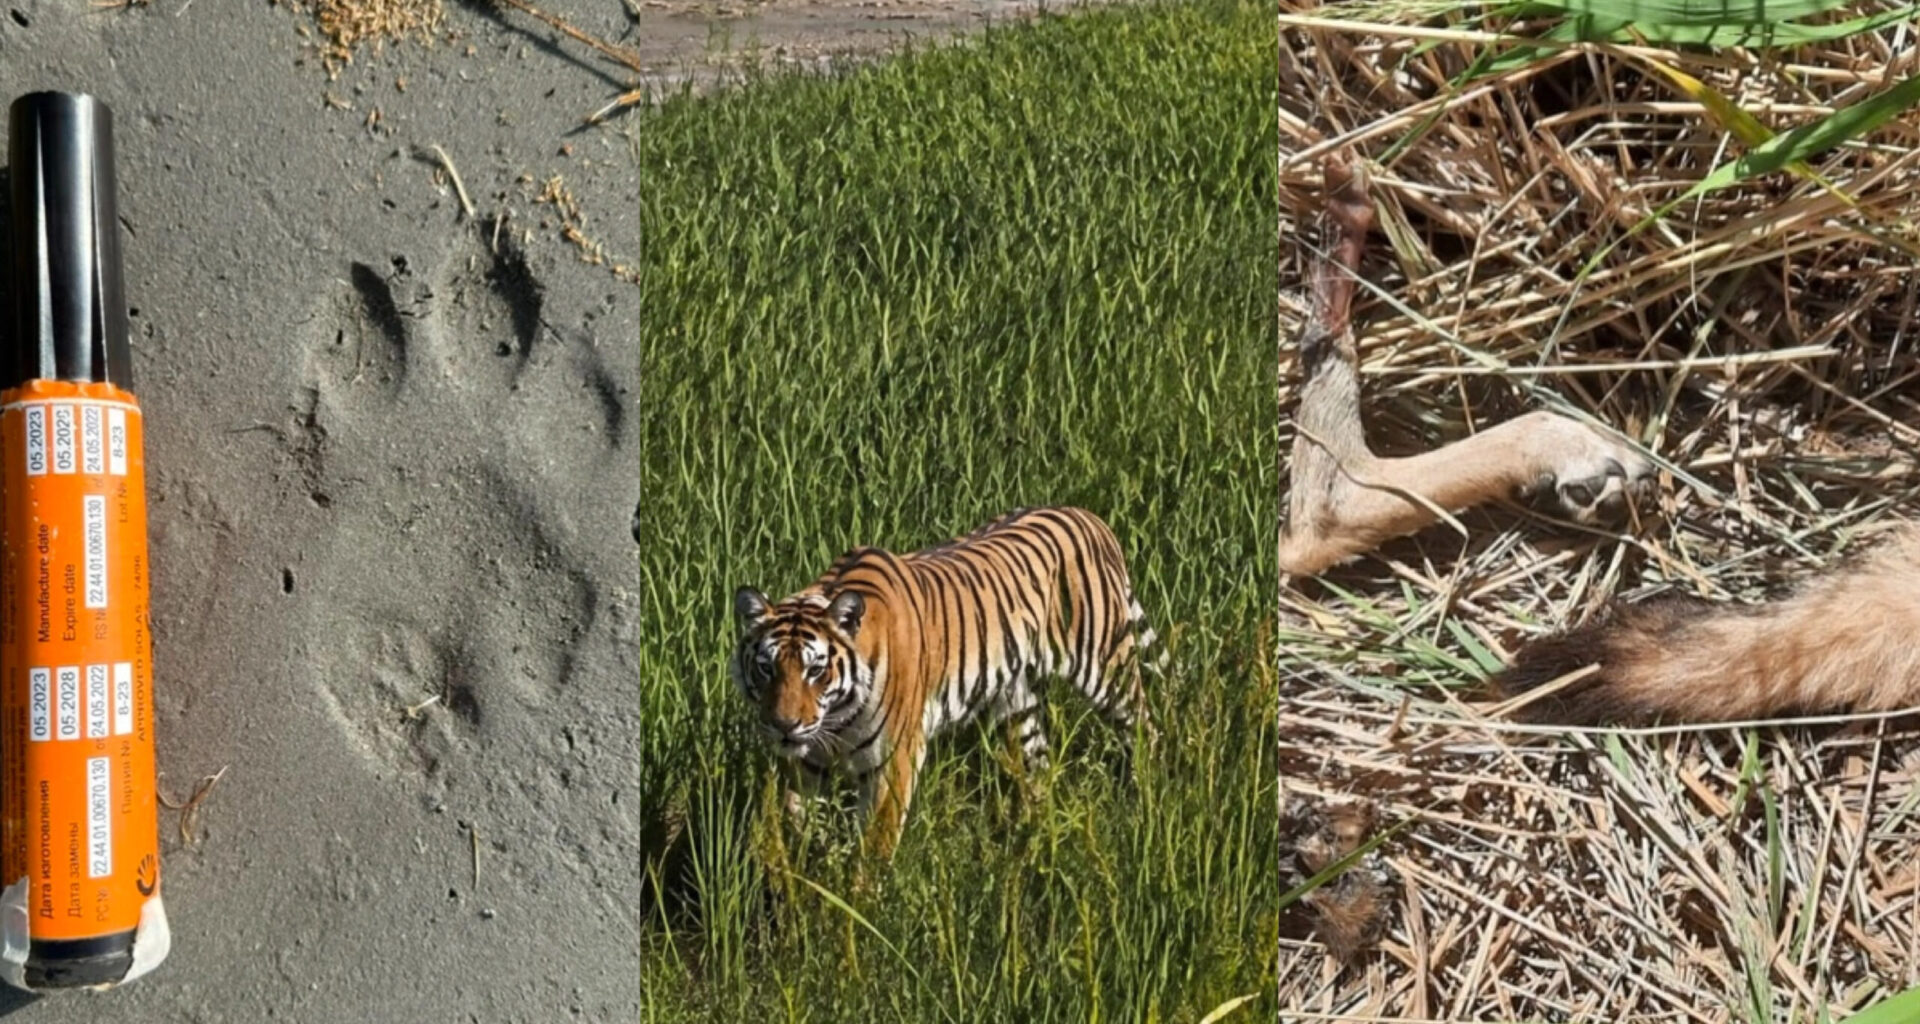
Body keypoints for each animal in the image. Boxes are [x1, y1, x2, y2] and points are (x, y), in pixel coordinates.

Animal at [730, 506, 1165, 859]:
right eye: (767, 668)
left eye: (815, 670)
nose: (783, 726)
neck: (836, 718)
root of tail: (1087, 515)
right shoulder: (806, 764)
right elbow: (796, 823)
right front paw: (800, 881)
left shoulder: (895, 759)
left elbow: (873, 847)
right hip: (1019, 706)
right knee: (1038, 767)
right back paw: (1033, 839)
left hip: (1108, 669)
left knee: (1146, 730)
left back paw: (1146, 799)